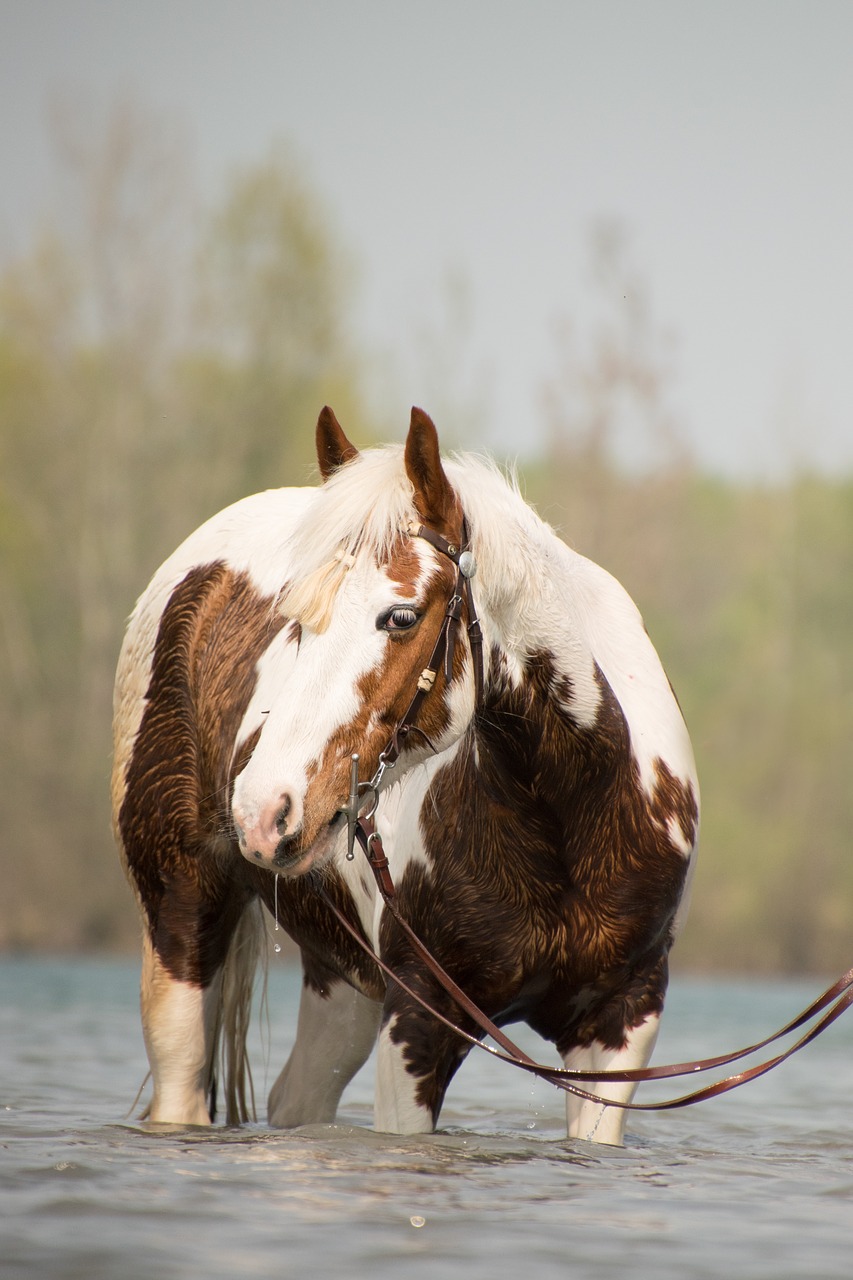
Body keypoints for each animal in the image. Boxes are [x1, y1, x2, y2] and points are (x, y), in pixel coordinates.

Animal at [111, 404, 696, 1146]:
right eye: (293, 623)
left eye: (400, 616)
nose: (262, 811)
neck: (567, 819)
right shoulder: (417, 1021)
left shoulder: (622, 1023)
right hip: (181, 925)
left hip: (340, 980)